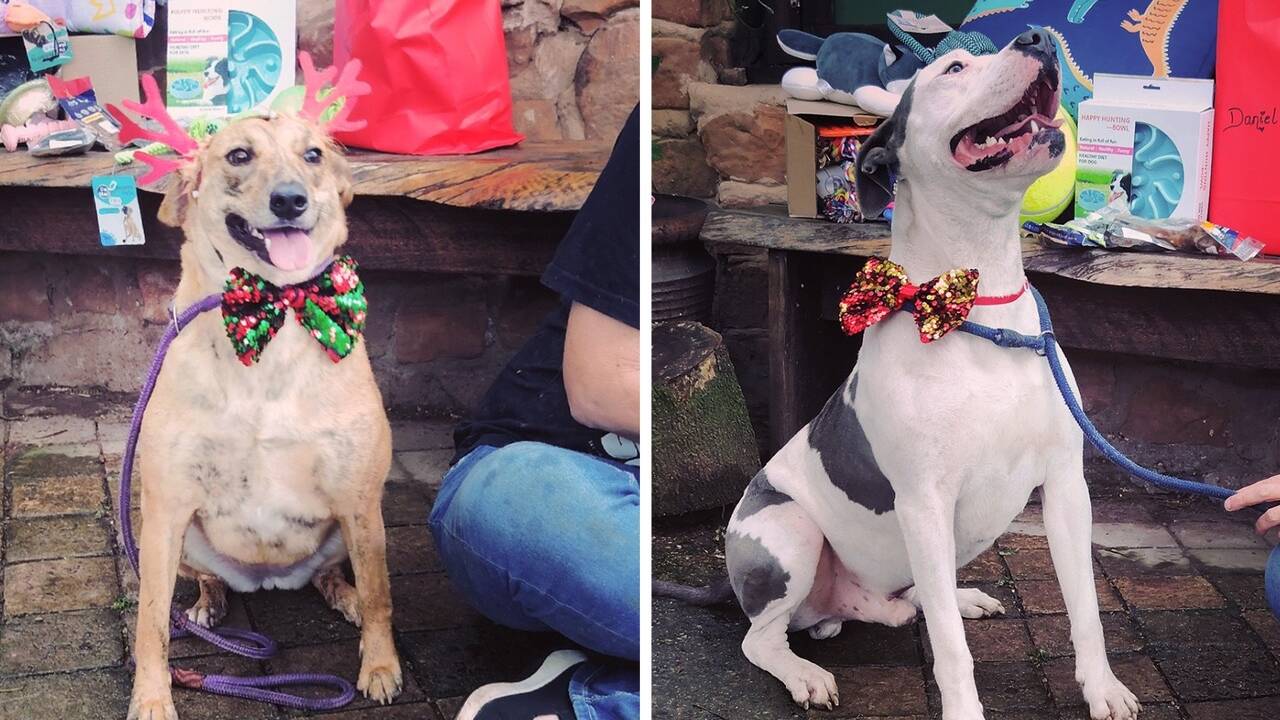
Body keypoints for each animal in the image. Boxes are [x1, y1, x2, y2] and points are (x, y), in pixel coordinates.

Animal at [127, 113, 402, 719]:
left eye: (314, 154)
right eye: (238, 155)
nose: (290, 200)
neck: (272, 308)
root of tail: (269, 580)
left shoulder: (359, 498)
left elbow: (380, 596)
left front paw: (380, 666)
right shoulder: (166, 509)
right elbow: (150, 623)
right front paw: (152, 698)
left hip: (349, 530)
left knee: (334, 576)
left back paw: (343, 597)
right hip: (181, 541)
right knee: (205, 583)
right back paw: (208, 607)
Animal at [659, 30, 1139, 720]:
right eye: (954, 67)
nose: (1038, 36)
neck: (981, 307)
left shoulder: (1068, 488)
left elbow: (1086, 607)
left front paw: (1103, 689)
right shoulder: (924, 504)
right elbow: (952, 649)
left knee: (914, 600)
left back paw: (956, 598)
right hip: (787, 532)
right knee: (761, 638)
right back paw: (804, 673)